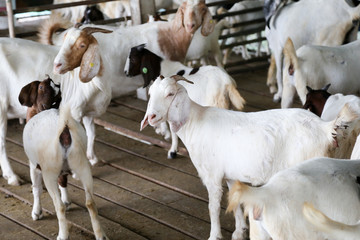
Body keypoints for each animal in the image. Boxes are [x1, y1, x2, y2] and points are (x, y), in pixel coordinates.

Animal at [22, 106, 106, 240]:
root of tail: (65, 131)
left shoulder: (34, 165)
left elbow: (36, 188)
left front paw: (36, 212)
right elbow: (63, 181)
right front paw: (67, 201)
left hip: (49, 173)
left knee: (58, 206)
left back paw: (62, 235)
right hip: (83, 167)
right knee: (90, 203)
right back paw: (100, 235)